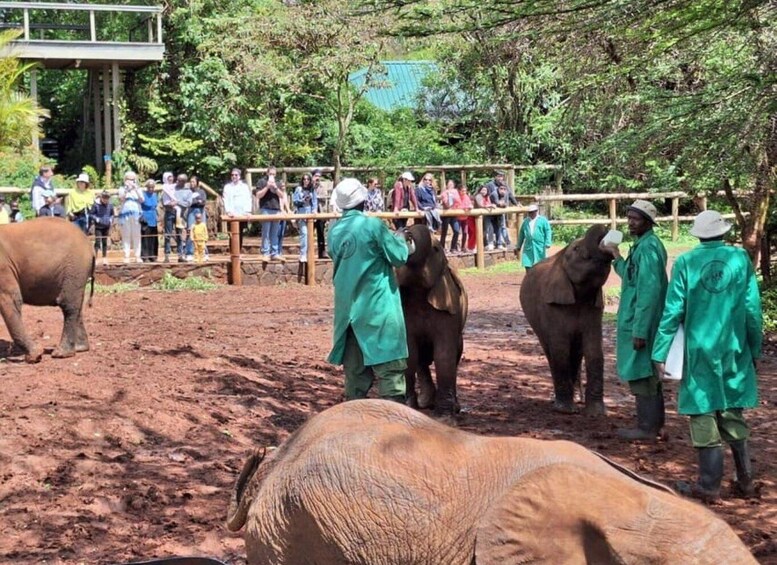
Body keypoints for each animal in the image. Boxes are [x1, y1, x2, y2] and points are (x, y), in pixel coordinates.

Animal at [0, 216, 94, 362]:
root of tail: (89, 244)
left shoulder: (3, 268)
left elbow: (11, 299)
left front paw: (35, 356)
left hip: (75, 267)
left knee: (68, 305)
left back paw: (62, 353)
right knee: (77, 304)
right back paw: (80, 348)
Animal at [394, 224, 466, 414]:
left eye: (435, 249)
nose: (406, 230)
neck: (418, 291)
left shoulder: (448, 306)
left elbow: (444, 354)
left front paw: (445, 414)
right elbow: (410, 354)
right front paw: (408, 406)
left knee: (455, 354)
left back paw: (453, 406)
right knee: (421, 360)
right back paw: (426, 401)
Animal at [520, 224, 616, 414]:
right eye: (576, 249)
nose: (605, 229)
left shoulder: (595, 307)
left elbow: (594, 350)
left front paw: (596, 413)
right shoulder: (551, 306)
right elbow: (560, 349)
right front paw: (565, 410)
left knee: (577, 352)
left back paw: (576, 398)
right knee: (550, 350)